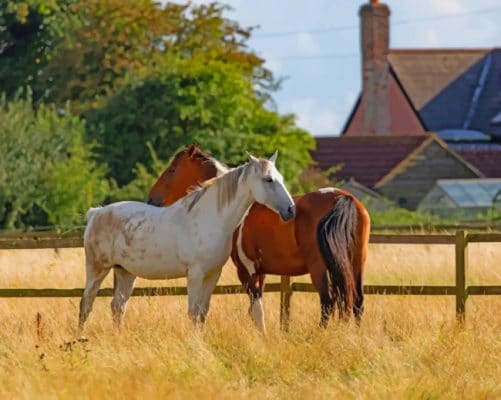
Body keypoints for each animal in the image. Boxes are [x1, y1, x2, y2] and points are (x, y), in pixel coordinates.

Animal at [78, 153, 294, 332]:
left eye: (281, 178)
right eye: (268, 179)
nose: (290, 210)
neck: (210, 218)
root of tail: (96, 213)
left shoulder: (213, 274)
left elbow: (203, 313)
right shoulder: (195, 275)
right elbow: (193, 313)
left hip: (125, 273)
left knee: (117, 307)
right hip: (97, 270)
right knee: (86, 304)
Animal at [146, 144, 370, 332]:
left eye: (172, 170)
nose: (151, 199)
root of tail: (343, 198)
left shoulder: (246, 271)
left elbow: (256, 309)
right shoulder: (260, 272)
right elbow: (254, 310)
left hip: (319, 267)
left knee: (328, 301)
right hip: (356, 263)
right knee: (357, 301)